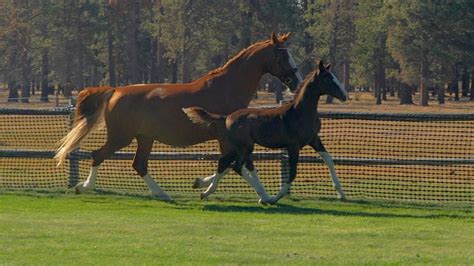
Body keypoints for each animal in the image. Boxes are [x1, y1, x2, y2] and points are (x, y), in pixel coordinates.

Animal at [55, 32, 300, 201]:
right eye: (283, 56)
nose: (296, 82)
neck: (227, 87)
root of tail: (115, 91)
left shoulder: (231, 140)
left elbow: (229, 165)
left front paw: (200, 183)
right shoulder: (229, 137)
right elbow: (240, 165)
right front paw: (265, 196)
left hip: (144, 138)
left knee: (139, 164)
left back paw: (162, 194)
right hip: (121, 137)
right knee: (98, 155)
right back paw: (84, 186)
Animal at [183, 61, 346, 205]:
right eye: (328, 78)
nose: (344, 95)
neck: (300, 113)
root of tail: (227, 117)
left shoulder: (314, 139)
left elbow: (329, 160)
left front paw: (341, 193)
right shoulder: (293, 146)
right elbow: (292, 173)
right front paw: (276, 198)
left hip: (239, 147)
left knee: (225, 163)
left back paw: (204, 189)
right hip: (246, 147)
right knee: (237, 166)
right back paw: (264, 196)